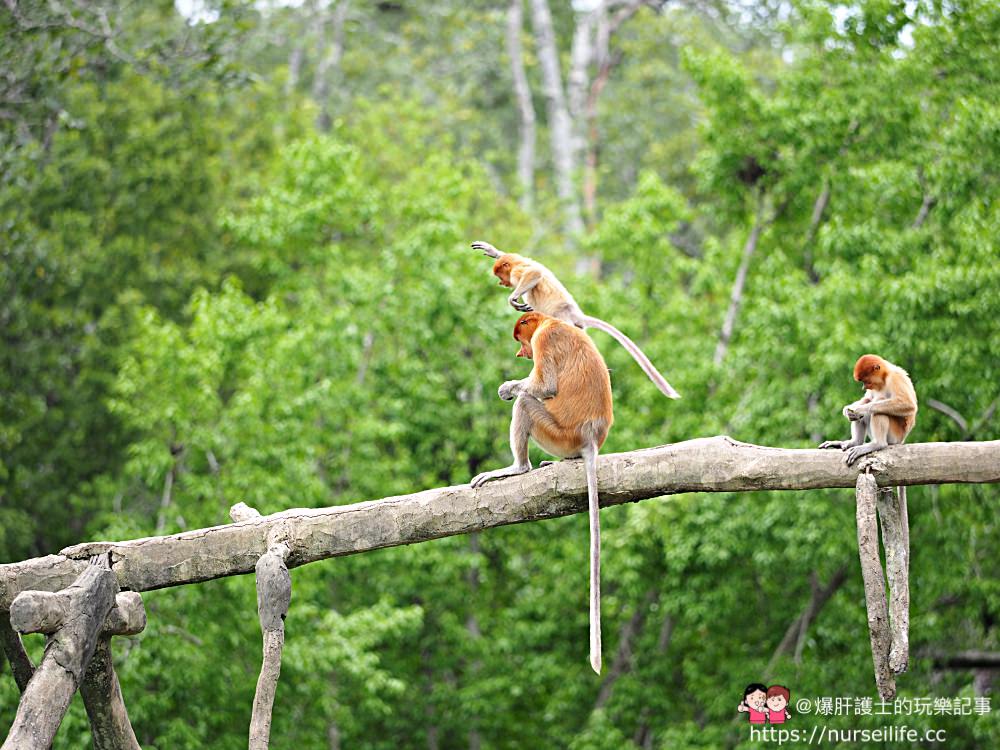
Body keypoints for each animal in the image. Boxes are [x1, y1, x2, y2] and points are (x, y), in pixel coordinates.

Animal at [472, 242, 684, 406]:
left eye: (501, 276)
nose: (502, 283)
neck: (517, 262)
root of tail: (576, 315)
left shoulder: (518, 270)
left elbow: (534, 273)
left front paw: (513, 299)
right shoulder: (517, 257)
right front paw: (491, 250)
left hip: (562, 319)